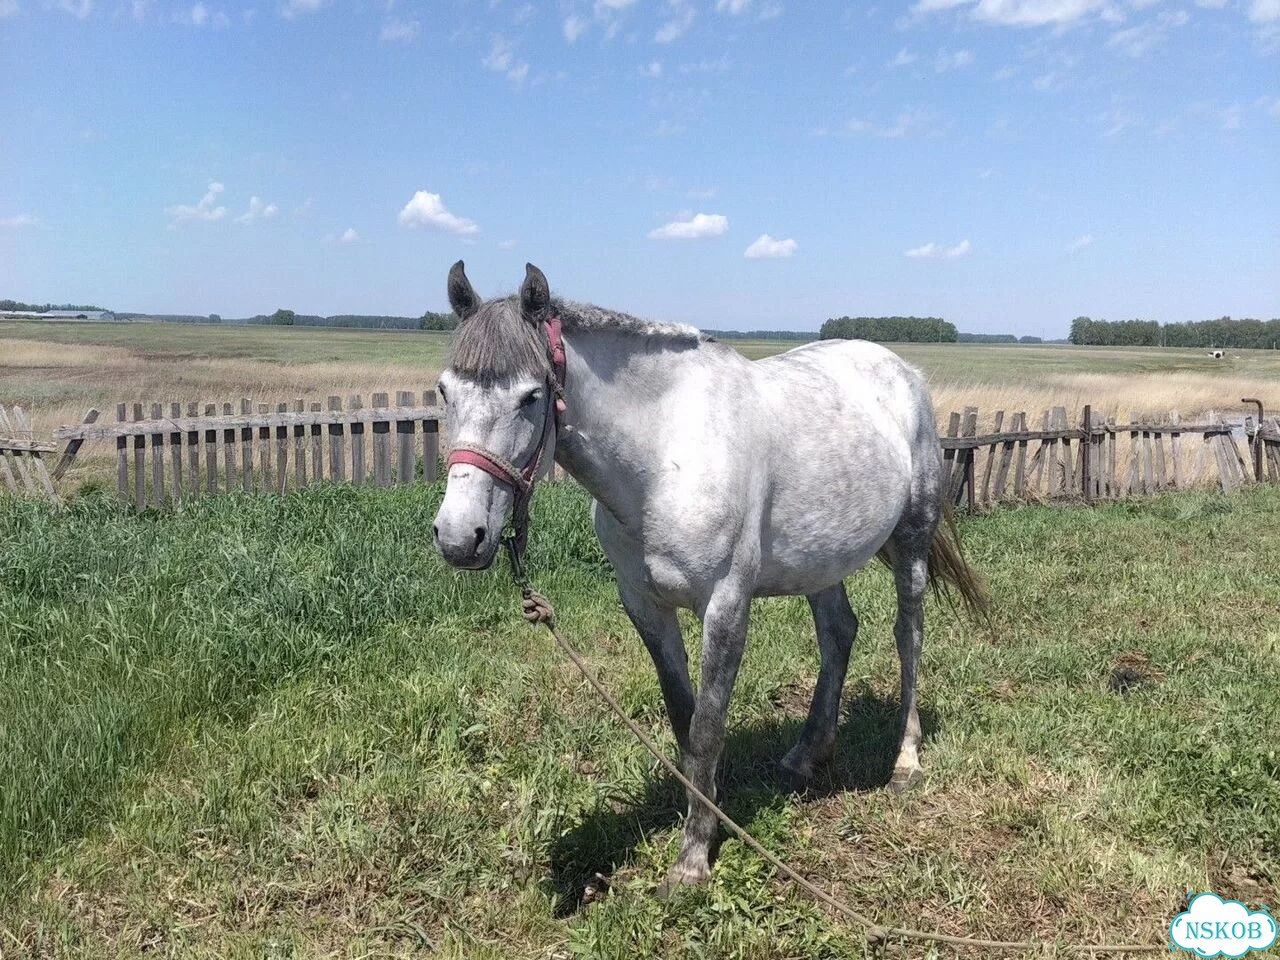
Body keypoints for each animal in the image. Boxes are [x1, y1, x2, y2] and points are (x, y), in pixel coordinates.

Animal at [432, 261, 987, 894]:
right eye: (444, 390)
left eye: (530, 396)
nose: (459, 536)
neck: (663, 454)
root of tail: (904, 372)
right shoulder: (645, 605)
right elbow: (683, 716)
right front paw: (708, 816)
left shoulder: (725, 606)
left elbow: (708, 726)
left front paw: (692, 860)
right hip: (823, 557)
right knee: (839, 633)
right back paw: (807, 754)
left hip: (912, 543)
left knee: (908, 636)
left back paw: (905, 763)